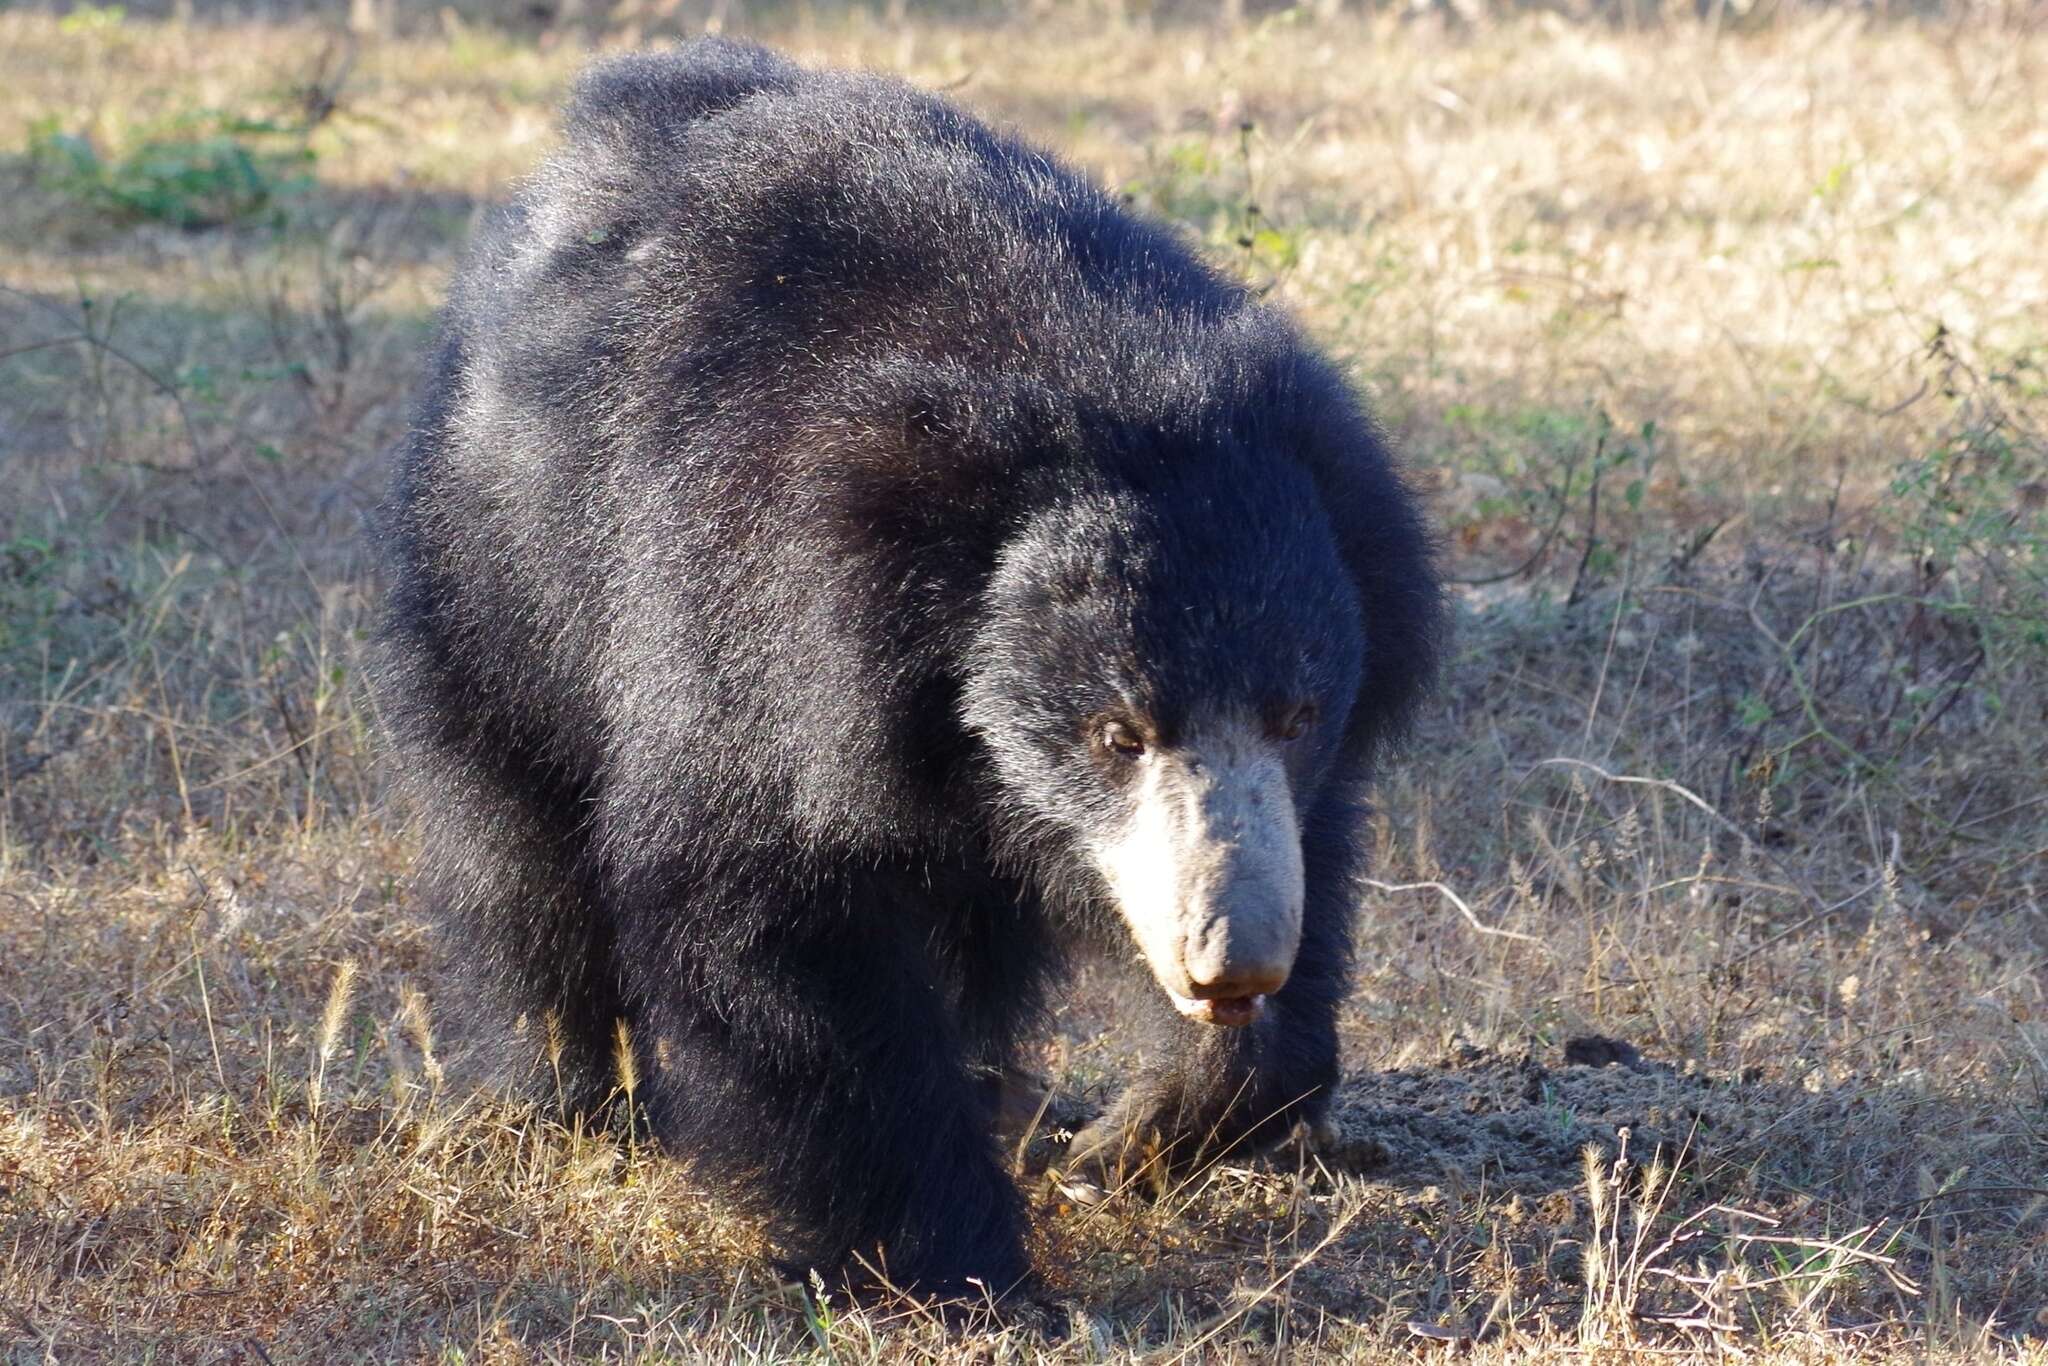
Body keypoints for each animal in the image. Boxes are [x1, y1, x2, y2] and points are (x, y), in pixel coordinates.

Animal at [385, 37, 1441, 1302]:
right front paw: (961, 1260)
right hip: (501, 581)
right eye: (1117, 733)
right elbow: (769, 915)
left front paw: (1135, 1134)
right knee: (516, 843)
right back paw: (560, 1100)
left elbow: (1311, 872)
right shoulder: (753, 636)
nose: (1229, 962)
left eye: (1297, 712)